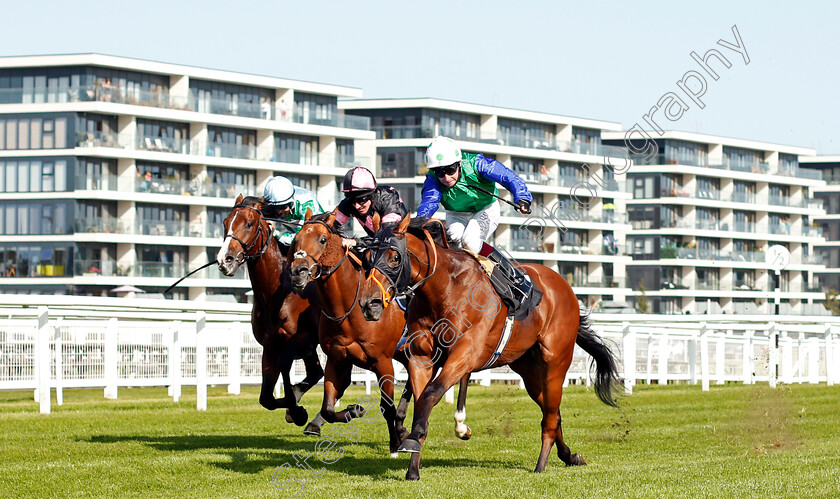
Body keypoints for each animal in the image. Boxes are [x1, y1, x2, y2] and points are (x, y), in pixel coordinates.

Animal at [215, 195, 324, 430]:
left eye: (249, 223)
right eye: (225, 222)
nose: (224, 260)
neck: (277, 292)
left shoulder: (301, 341)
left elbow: (285, 368)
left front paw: (296, 409)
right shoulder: (270, 345)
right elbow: (266, 398)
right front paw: (296, 410)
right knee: (317, 372)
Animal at [288, 211, 472, 458]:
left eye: (322, 239)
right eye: (296, 240)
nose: (297, 272)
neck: (349, 309)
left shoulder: (383, 362)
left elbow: (387, 407)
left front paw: (394, 446)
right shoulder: (337, 359)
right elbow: (328, 408)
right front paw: (354, 410)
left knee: (461, 375)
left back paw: (458, 424)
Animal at [358, 215, 620, 480]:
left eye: (394, 256)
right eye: (367, 257)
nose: (369, 304)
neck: (445, 288)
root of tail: (564, 285)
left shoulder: (465, 353)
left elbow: (431, 393)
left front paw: (413, 440)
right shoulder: (421, 358)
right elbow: (422, 400)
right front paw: (413, 466)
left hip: (555, 363)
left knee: (550, 417)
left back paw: (541, 465)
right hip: (529, 372)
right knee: (553, 412)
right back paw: (570, 456)